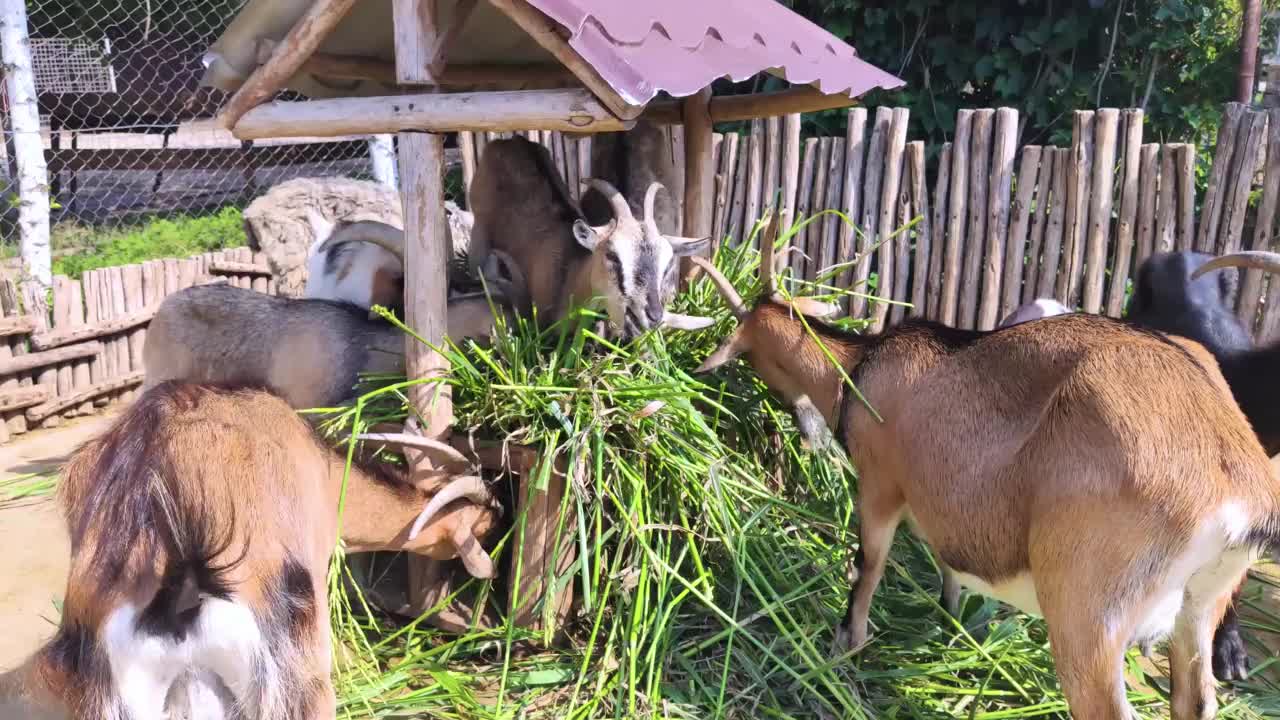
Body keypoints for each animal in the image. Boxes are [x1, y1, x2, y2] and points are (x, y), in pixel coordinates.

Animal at [468, 135, 716, 338]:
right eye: (612, 255)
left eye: (667, 265)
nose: (651, 316)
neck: (569, 272)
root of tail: (509, 140)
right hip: (479, 228)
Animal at [691, 212, 1280, 717]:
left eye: (753, 356)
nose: (806, 431)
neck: (861, 368)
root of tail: (1238, 483)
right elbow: (948, 564)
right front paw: (949, 620)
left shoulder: (881, 484)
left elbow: (868, 568)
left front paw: (845, 648)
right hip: (1201, 606)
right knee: (1195, 699)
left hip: (1088, 615)